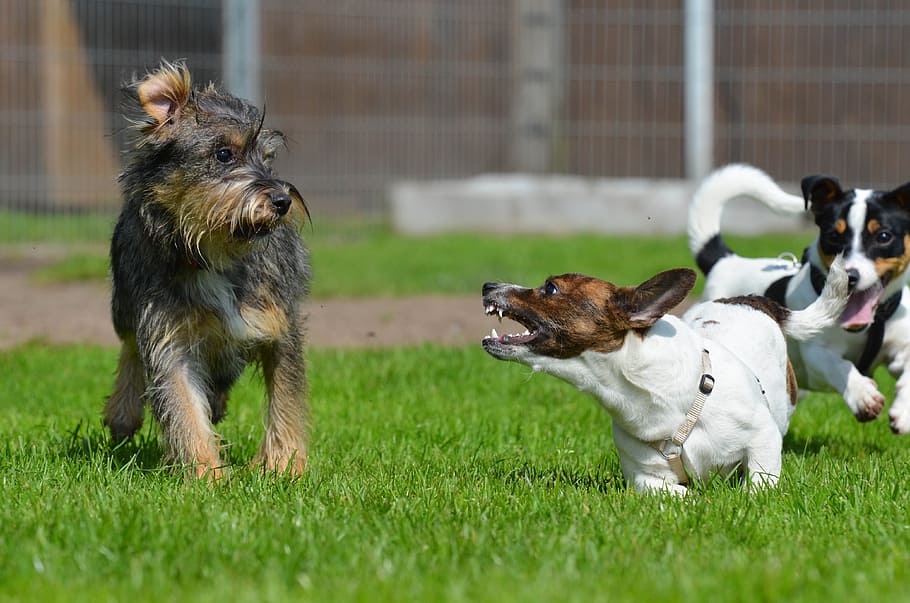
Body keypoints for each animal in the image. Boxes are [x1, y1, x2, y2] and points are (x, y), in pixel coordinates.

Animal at [480, 264, 852, 496]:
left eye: (551, 288)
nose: (487, 285)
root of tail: (751, 299)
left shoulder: (763, 437)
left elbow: (761, 482)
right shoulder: (646, 478)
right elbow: (676, 494)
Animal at [688, 163, 910, 432]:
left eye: (884, 236)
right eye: (833, 236)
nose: (851, 277)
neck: (868, 325)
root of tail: (726, 262)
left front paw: (903, 411)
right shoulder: (816, 353)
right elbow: (839, 365)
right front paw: (861, 395)